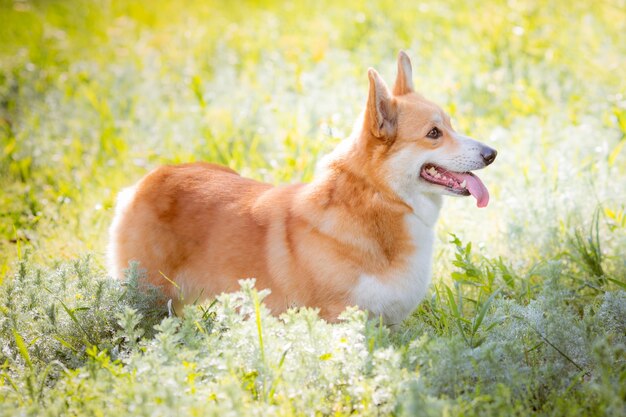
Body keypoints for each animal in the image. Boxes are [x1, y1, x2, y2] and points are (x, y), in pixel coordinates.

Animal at [108, 52, 498, 324]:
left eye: (450, 125)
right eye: (433, 134)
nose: (492, 153)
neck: (377, 200)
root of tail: (146, 181)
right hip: (149, 300)